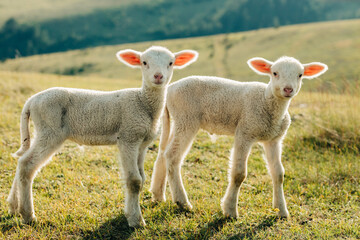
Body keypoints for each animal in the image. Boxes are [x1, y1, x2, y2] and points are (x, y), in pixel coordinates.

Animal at [7, 45, 200, 227]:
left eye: (171, 63)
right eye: (144, 62)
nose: (158, 76)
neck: (143, 102)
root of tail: (31, 101)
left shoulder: (142, 143)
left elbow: (142, 178)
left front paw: (129, 213)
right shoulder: (128, 137)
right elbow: (134, 180)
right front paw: (136, 220)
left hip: (43, 131)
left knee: (22, 160)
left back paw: (14, 206)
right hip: (50, 129)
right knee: (27, 165)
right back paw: (28, 215)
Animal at [150, 55, 328, 218]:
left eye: (300, 75)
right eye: (275, 73)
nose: (288, 89)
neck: (266, 101)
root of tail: (170, 89)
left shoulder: (273, 139)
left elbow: (278, 174)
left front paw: (281, 210)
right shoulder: (244, 132)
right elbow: (239, 174)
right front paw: (230, 210)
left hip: (178, 122)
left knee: (163, 153)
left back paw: (158, 194)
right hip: (187, 119)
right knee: (173, 156)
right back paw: (182, 202)